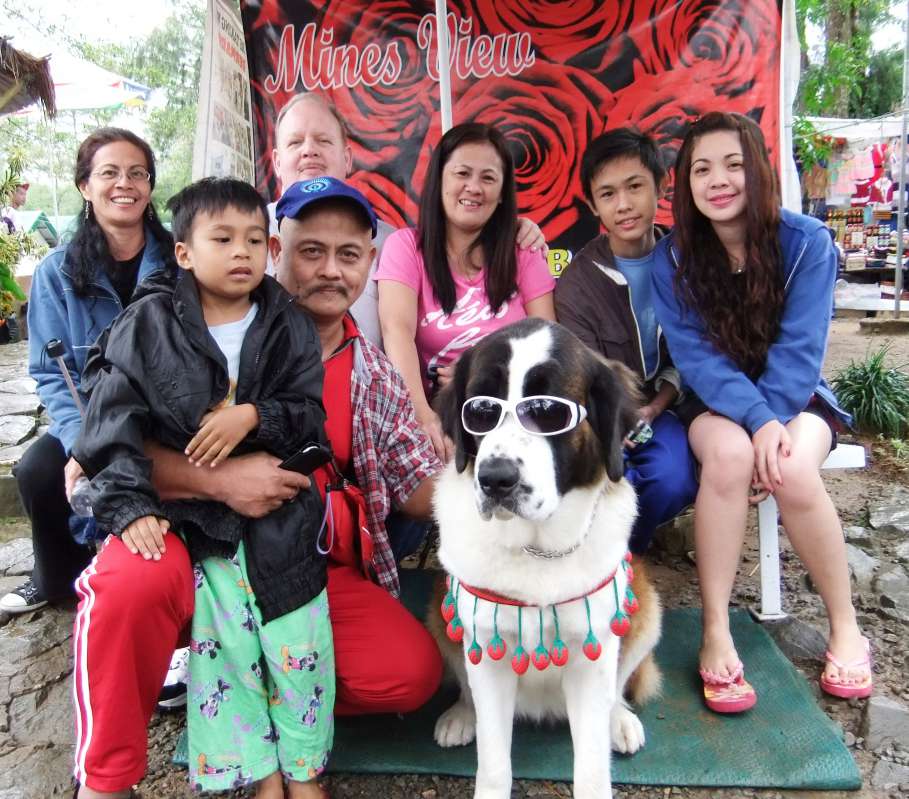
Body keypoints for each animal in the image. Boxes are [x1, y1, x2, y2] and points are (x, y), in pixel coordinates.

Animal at [428, 318, 662, 799]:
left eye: (548, 410)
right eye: (480, 410)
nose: (496, 479)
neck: (536, 546)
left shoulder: (594, 656)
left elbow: (591, 767)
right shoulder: (486, 651)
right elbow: (493, 763)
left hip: (647, 608)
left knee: (619, 687)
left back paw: (619, 720)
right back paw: (462, 715)